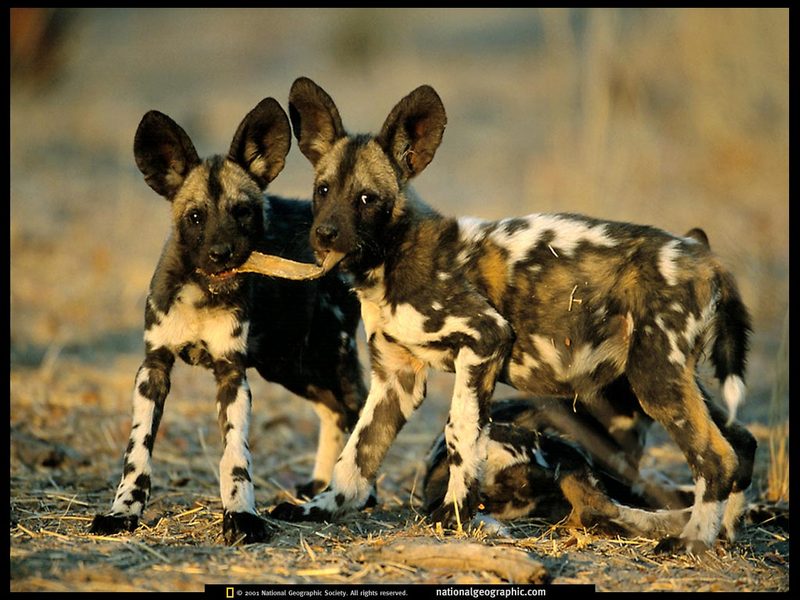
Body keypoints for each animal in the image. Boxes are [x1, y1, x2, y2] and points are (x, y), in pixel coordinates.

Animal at [92, 97, 368, 544]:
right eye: (195, 217)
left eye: (243, 212)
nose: (222, 253)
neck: (201, 295)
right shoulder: (153, 369)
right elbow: (137, 452)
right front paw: (122, 512)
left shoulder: (232, 374)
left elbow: (235, 457)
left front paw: (241, 515)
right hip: (290, 367)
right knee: (334, 412)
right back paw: (320, 483)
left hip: (325, 358)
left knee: (360, 411)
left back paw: (355, 494)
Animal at [270, 77, 756, 556]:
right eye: (323, 191)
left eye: (367, 199)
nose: (324, 234)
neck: (391, 257)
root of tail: (706, 259)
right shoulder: (396, 379)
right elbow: (355, 458)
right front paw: (323, 507)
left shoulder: (483, 339)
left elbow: (462, 435)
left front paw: (455, 516)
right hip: (667, 377)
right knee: (742, 445)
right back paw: (724, 534)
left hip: (654, 381)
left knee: (716, 459)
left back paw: (693, 540)